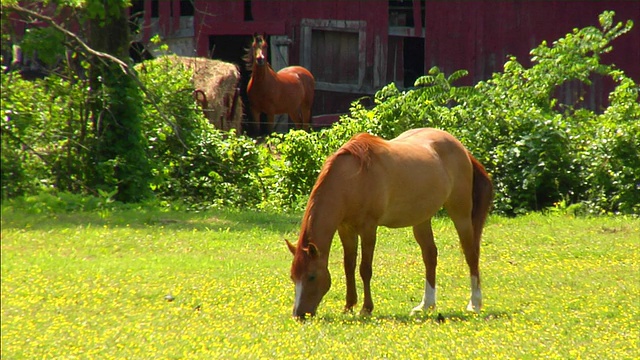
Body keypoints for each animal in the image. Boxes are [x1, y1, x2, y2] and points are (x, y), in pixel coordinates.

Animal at [286, 127, 496, 318]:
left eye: (312, 276)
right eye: (293, 276)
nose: (299, 315)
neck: (352, 178)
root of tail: (462, 149)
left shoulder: (368, 229)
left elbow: (365, 269)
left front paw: (366, 309)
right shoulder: (345, 229)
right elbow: (348, 266)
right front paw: (349, 306)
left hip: (460, 214)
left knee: (471, 254)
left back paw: (474, 304)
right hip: (422, 219)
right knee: (430, 256)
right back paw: (426, 305)